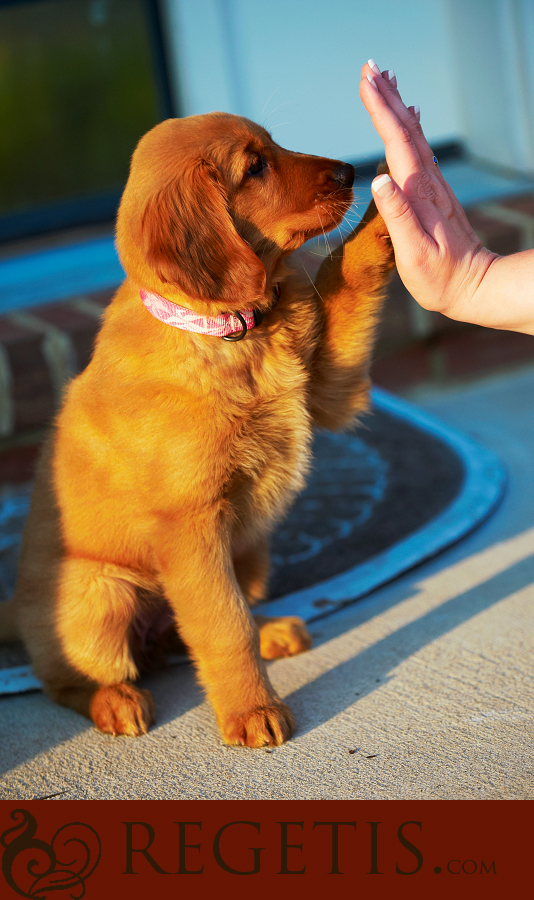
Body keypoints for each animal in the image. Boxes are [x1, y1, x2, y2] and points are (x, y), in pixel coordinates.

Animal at [1, 112, 394, 744]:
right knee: (65, 677)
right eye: (254, 167)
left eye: (275, 144)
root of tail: (14, 605)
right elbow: (222, 624)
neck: (232, 331)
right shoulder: (190, 524)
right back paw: (115, 701)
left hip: (252, 549)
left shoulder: (331, 392)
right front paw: (252, 712)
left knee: (200, 629)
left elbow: (346, 285)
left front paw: (382, 219)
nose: (349, 171)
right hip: (100, 594)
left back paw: (271, 628)